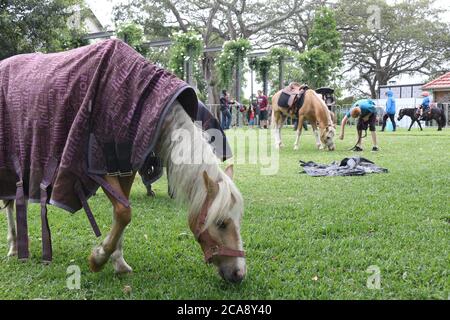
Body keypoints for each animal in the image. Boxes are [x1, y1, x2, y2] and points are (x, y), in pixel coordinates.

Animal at [1, 100, 246, 282]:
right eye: (221, 223)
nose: (239, 273)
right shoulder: (99, 166)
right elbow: (124, 212)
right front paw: (99, 258)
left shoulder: (124, 167)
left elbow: (120, 212)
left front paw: (117, 261)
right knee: (11, 202)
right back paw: (14, 247)